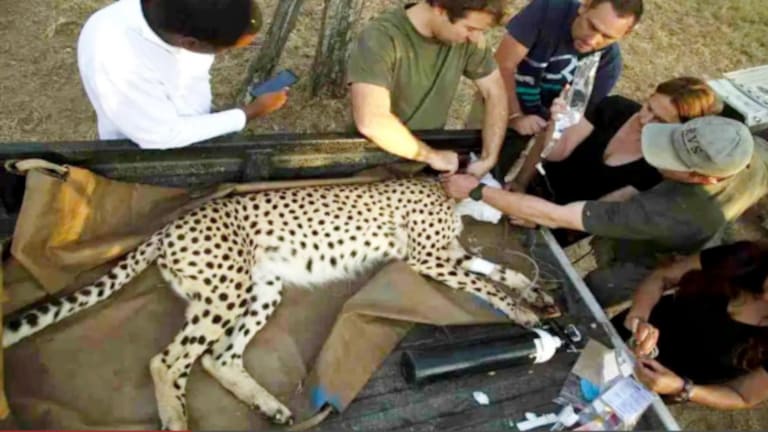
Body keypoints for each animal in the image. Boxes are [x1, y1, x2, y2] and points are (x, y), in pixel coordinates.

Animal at [3, 177, 554, 430]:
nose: (516, 204)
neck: (446, 190)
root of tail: (171, 224)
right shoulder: (428, 259)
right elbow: (487, 285)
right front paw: (524, 312)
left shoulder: (450, 254)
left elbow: (497, 272)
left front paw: (538, 296)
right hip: (225, 290)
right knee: (168, 359)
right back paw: (178, 418)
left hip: (262, 288)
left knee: (217, 357)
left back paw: (269, 405)